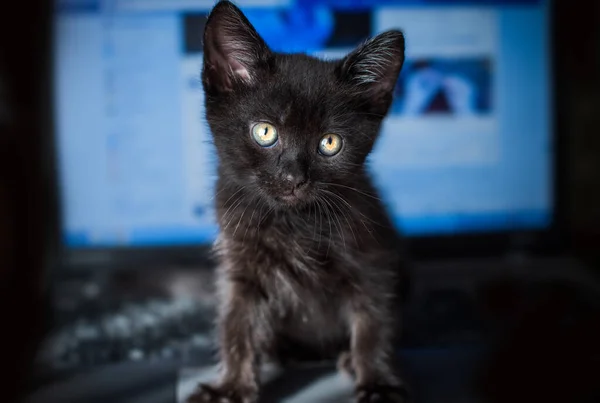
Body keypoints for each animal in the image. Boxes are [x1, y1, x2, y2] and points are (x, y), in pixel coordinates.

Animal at [189, 1, 408, 402]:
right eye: (265, 132)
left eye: (330, 143)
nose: (294, 177)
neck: (291, 223)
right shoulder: (240, 265)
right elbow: (237, 325)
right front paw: (231, 386)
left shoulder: (372, 259)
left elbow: (372, 321)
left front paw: (377, 381)